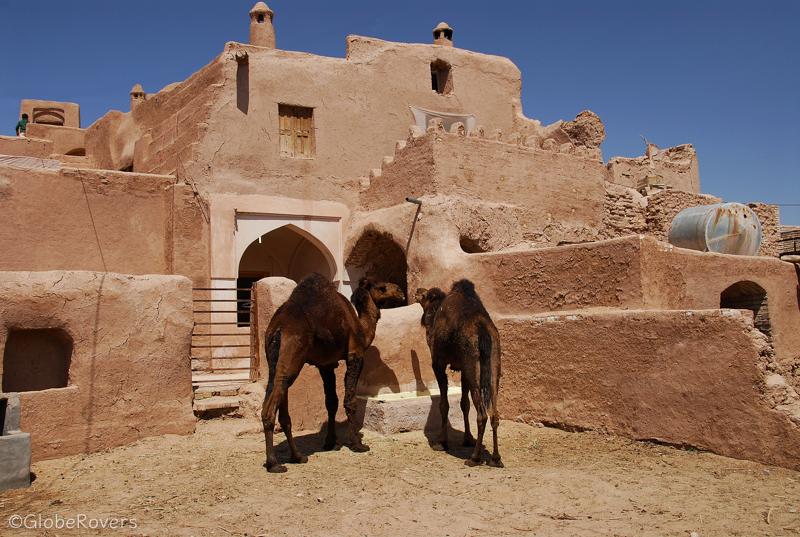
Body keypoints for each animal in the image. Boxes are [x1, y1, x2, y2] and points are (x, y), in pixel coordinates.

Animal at [261, 272, 405, 473]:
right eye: (381, 287)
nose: (400, 291)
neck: (361, 328)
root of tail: (278, 329)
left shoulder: (326, 365)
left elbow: (331, 402)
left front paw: (330, 442)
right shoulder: (355, 354)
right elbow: (350, 401)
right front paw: (357, 444)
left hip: (274, 362)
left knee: (279, 401)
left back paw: (297, 456)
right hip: (292, 357)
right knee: (271, 406)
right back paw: (274, 463)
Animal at [415, 280, 503, 467]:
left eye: (424, 295)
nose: (417, 290)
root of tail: (483, 331)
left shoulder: (438, 363)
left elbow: (444, 404)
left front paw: (441, 442)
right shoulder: (463, 368)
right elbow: (464, 403)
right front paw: (468, 439)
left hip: (472, 362)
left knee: (482, 414)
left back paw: (474, 458)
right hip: (493, 362)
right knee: (494, 412)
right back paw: (496, 458)